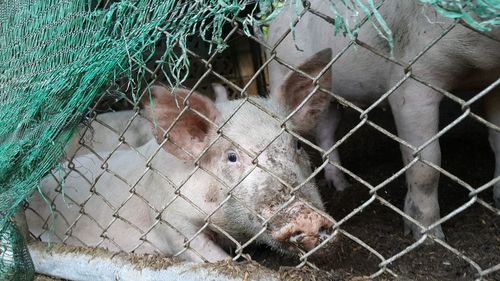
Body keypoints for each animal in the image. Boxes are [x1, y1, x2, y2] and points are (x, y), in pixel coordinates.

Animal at [268, 0, 500, 241]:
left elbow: (496, 141)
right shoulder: (411, 80)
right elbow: (427, 163)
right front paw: (429, 238)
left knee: (326, 132)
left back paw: (342, 186)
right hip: (280, 71)